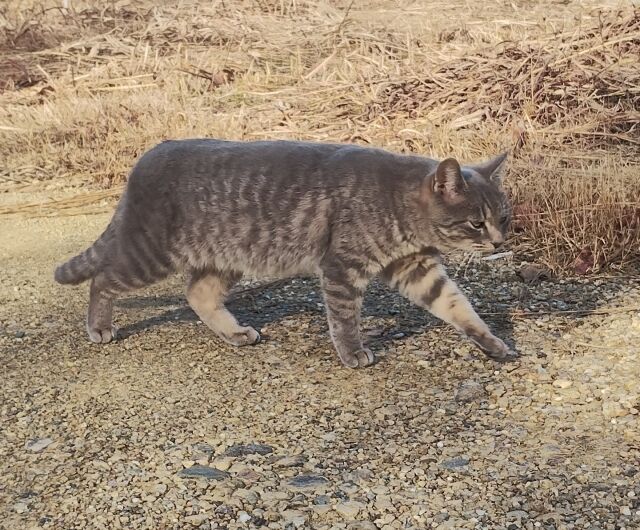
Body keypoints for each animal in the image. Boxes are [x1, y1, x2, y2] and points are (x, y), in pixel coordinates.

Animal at [55, 139, 516, 368]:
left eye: (504, 218)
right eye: (476, 223)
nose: (499, 243)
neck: (397, 199)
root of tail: (143, 160)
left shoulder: (416, 267)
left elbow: (458, 306)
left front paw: (490, 341)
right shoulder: (342, 267)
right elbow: (344, 319)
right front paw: (352, 352)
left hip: (226, 257)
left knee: (198, 294)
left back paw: (234, 332)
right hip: (148, 253)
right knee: (103, 278)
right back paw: (99, 326)